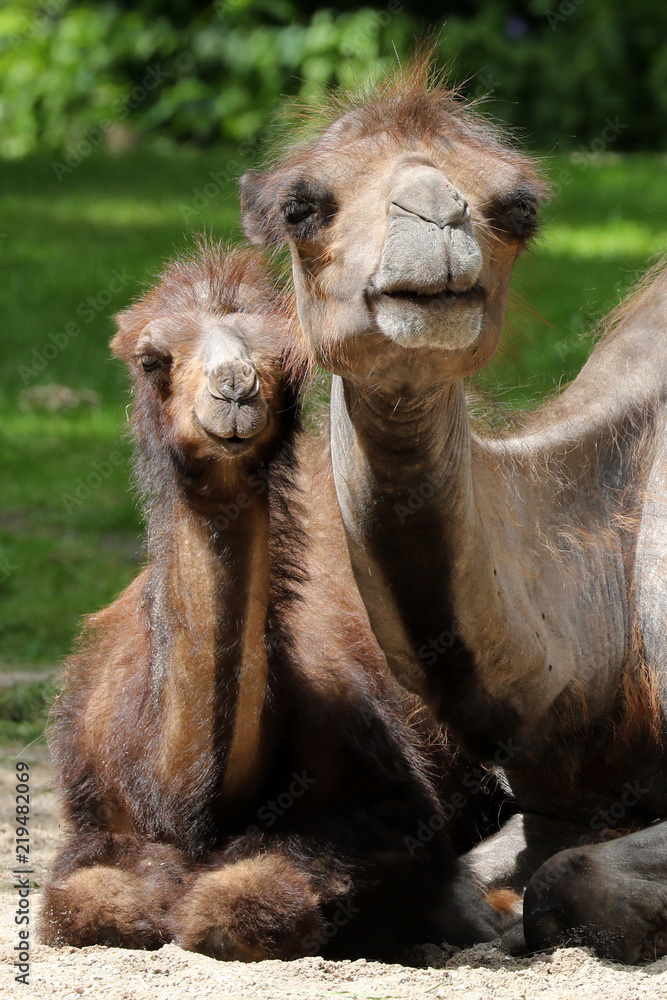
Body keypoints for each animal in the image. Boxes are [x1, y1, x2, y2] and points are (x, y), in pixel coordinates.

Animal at [40, 241, 506, 959]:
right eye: (151, 358)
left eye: (287, 358)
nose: (235, 389)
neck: (194, 800)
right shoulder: (97, 816)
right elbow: (84, 904)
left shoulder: (387, 808)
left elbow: (247, 902)